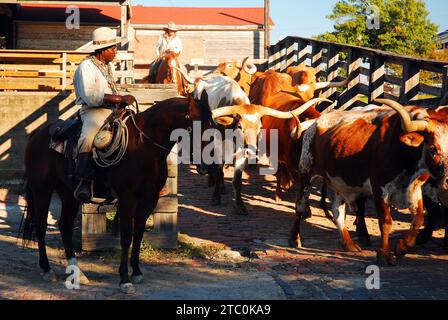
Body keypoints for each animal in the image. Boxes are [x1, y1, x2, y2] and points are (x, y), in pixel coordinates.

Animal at [23, 96, 213, 294]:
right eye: (200, 124)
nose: (210, 163)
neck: (144, 147)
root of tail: (38, 133)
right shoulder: (127, 199)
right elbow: (126, 237)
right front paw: (124, 279)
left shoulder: (149, 199)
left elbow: (138, 234)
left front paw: (136, 272)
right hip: (42, 189)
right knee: (41, 226)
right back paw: (47, 269)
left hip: (68, 193)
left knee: (65, 226)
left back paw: (78, 273)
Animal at [292, 100, 448, 264]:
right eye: (433, 149)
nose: (446, 182)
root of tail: (315, 123)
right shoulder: (379, 189)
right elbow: (385, 222)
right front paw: (384, 254)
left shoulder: (415, 189)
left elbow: (418, 218)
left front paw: (403, 246)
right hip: (306, 173)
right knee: (299, 207)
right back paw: (294, 239)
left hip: (341, 184)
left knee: (337, 211)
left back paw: (348, 243)